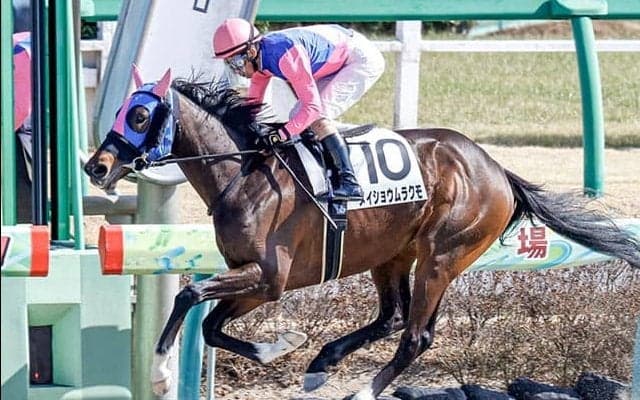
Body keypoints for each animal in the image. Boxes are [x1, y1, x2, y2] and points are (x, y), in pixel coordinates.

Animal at [84, 68, 640, 399]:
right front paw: (284, 346)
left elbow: (190, 296)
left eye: (139, 115)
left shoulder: (269, 277)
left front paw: (159, 369)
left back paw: (363, 389)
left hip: (442, 257)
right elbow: (211, 325)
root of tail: (496, 168)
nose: (97, 166)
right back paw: (322, 362)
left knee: (416, 335)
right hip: (392, 256)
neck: (244, 174)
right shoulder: (252, 278)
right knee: (392, 318)